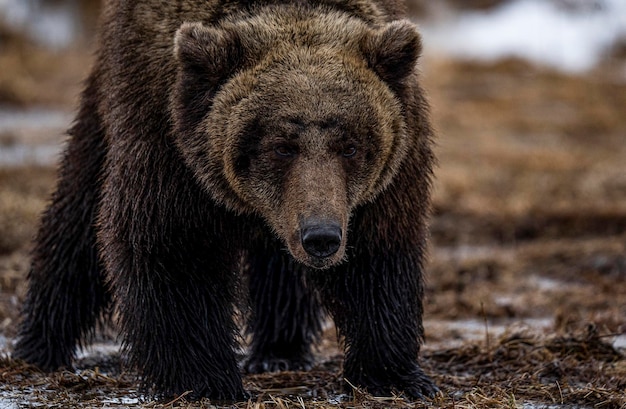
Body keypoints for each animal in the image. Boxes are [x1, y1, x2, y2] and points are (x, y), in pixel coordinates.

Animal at [13, 0, 434, 402]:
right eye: (282, 146)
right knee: (77, 216)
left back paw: (279, 349)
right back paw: (39, 344)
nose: (321, 237)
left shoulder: (386, 177)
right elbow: (172, 250)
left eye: (350, 145)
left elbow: (378, 261)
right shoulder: (170, 143)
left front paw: (394, 376)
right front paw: (206, 381)